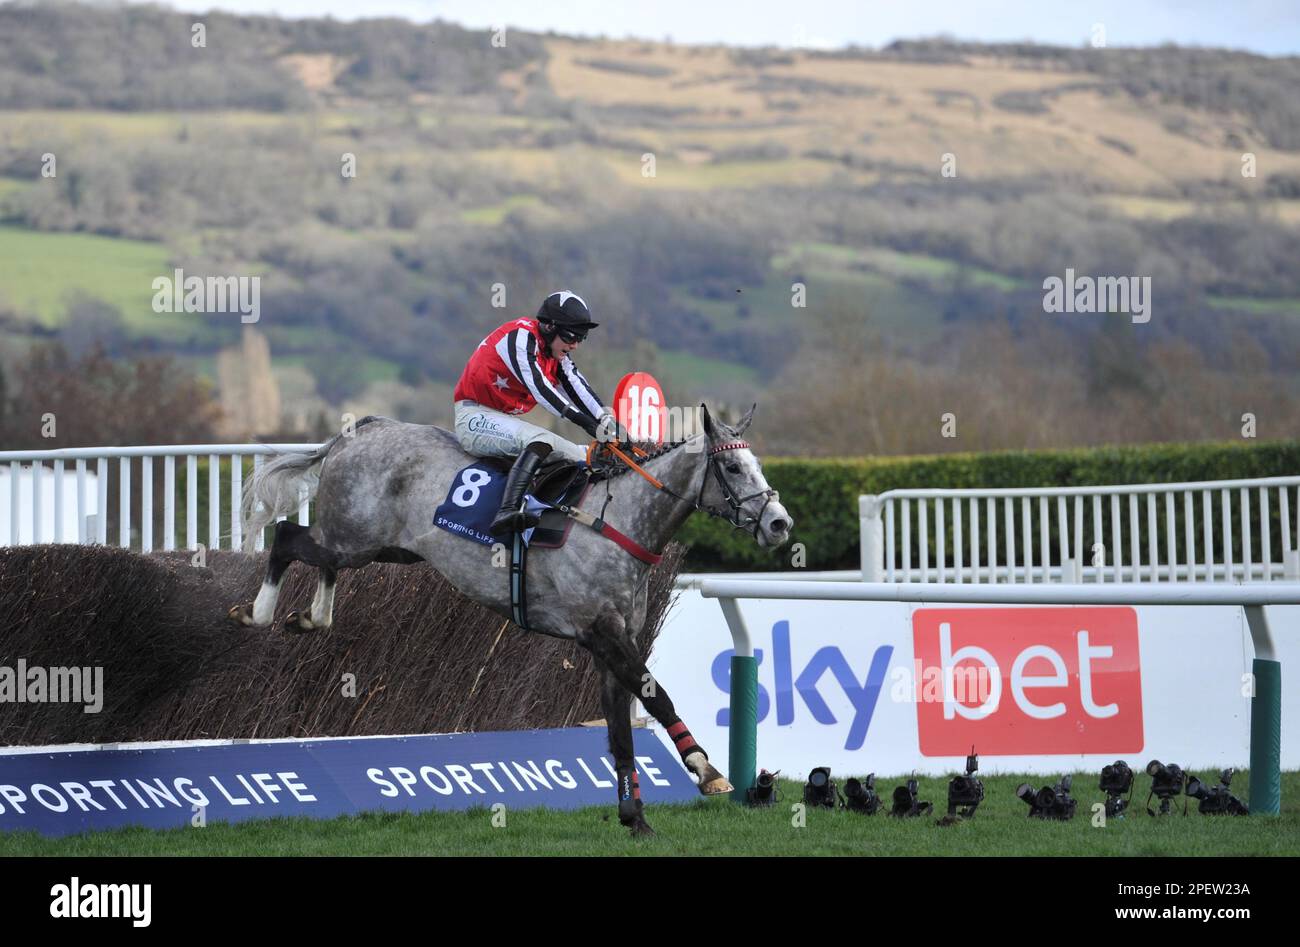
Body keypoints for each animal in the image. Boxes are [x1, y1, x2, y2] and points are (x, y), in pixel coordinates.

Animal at [228, 403, 785, 832]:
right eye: (734, 470)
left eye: (758, 464)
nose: (780, 523)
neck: (618, 522)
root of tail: (365, 427)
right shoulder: (600, 631)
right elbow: (656, 696)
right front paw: (705, 769)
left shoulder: (611, 643)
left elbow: (621, 731)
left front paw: (635, 818)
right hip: (354, 535)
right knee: (286, 536)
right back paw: (257, 613)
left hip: (376, 547)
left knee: (321, 559)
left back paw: (311, 618)